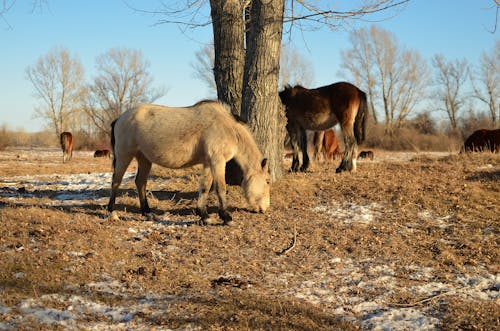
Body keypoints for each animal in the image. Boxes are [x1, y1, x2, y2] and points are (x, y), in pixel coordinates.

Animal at [106, 100, 270, 226]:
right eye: (268, 181)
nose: (265, 208)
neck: (227, 128)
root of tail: (119, 118)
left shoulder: (208, 163)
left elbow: (205, 187)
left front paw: (204, 216)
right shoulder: (217, 161)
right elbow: (220, 188)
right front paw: (226, 218)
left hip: (144, 158)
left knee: (140, 182)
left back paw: (148, 213)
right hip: (124, 156)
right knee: (116, 181)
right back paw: (112, 213)